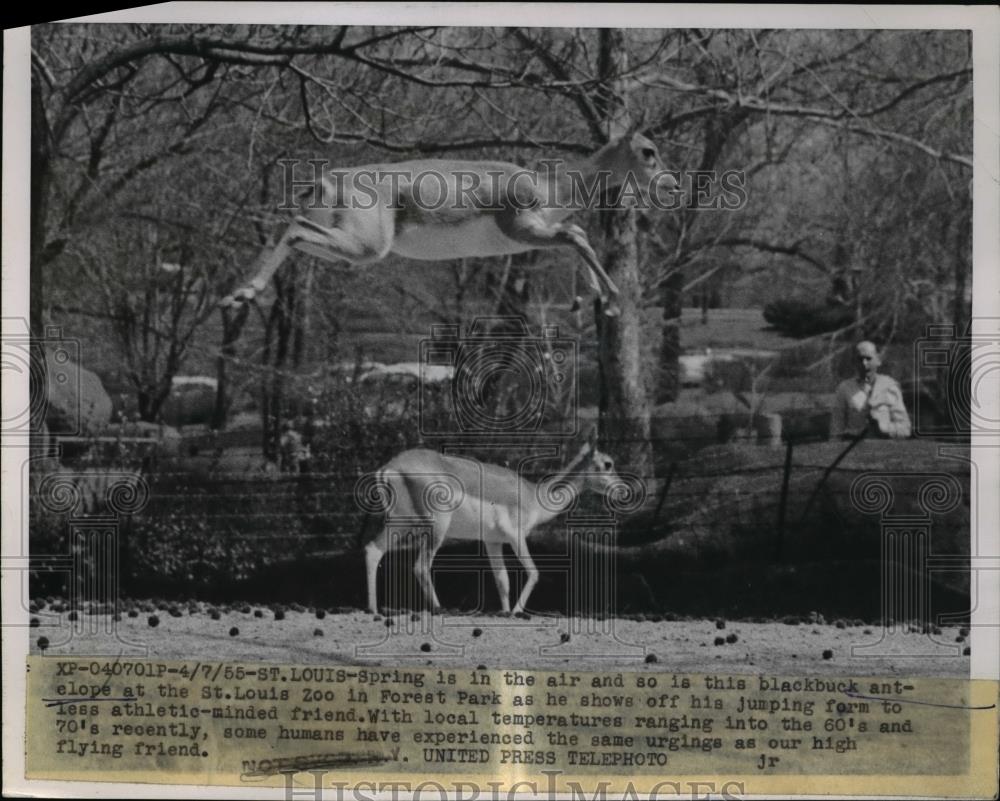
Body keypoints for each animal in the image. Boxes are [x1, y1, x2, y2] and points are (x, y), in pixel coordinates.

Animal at [219, 130, 672, 314]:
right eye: (648, 151)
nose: (671, 183)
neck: (549, 187)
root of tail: (326, 181)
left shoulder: (527, 240)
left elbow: (576, 232)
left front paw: (589, 300)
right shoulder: (523, 229)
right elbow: (575, 234)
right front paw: (611, 297)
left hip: (347, 245)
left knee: (291, 231)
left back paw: (239, 294)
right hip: (367, 246)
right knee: (294, 228)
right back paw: (241, 293)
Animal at [364, 438, 620, 612]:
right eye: (608, 463)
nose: (622, 489)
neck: (534, 496)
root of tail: (390, 467)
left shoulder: (493, 541)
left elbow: (502, 580)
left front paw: (505, 612)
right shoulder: (516, 536)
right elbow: (534, 572)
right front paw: (516, 611)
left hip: (399, 523)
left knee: (372, 550)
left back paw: (374, 609)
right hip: (435, 528)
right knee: (420, 566)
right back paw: (438, 609)